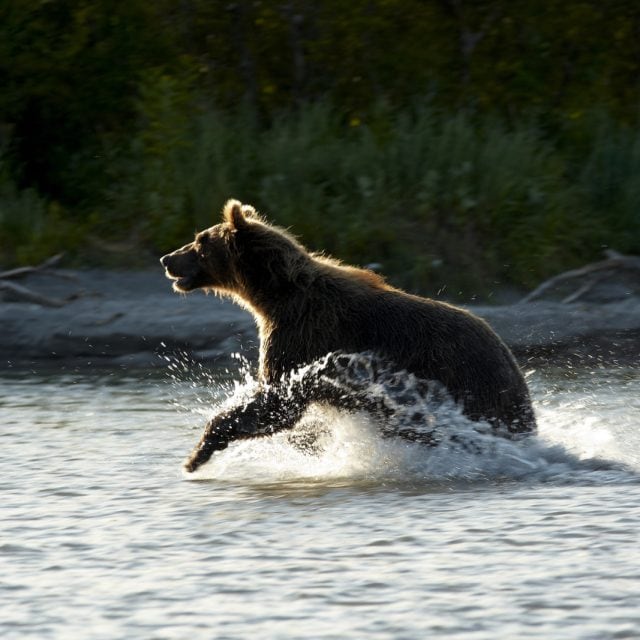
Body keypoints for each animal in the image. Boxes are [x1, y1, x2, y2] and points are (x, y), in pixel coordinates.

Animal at [160, 199, 536, 472]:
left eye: (199, 241)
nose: (167, 258)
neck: (274, 297)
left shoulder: (304, 335)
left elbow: (277, 402)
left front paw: (196, 454)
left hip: (467, 385)